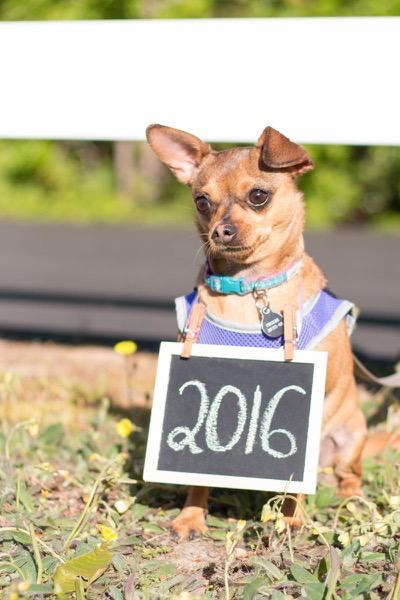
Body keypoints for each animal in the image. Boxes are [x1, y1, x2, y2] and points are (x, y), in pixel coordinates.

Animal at [145, 124, 368, 540]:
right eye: (202, 201)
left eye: (258, 196)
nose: (221, 230)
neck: (249, 289)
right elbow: (196, 476)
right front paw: (191, 516)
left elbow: (297, 479)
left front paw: (292, 518)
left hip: (351, 434)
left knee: (350, 475)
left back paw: (350, 498)